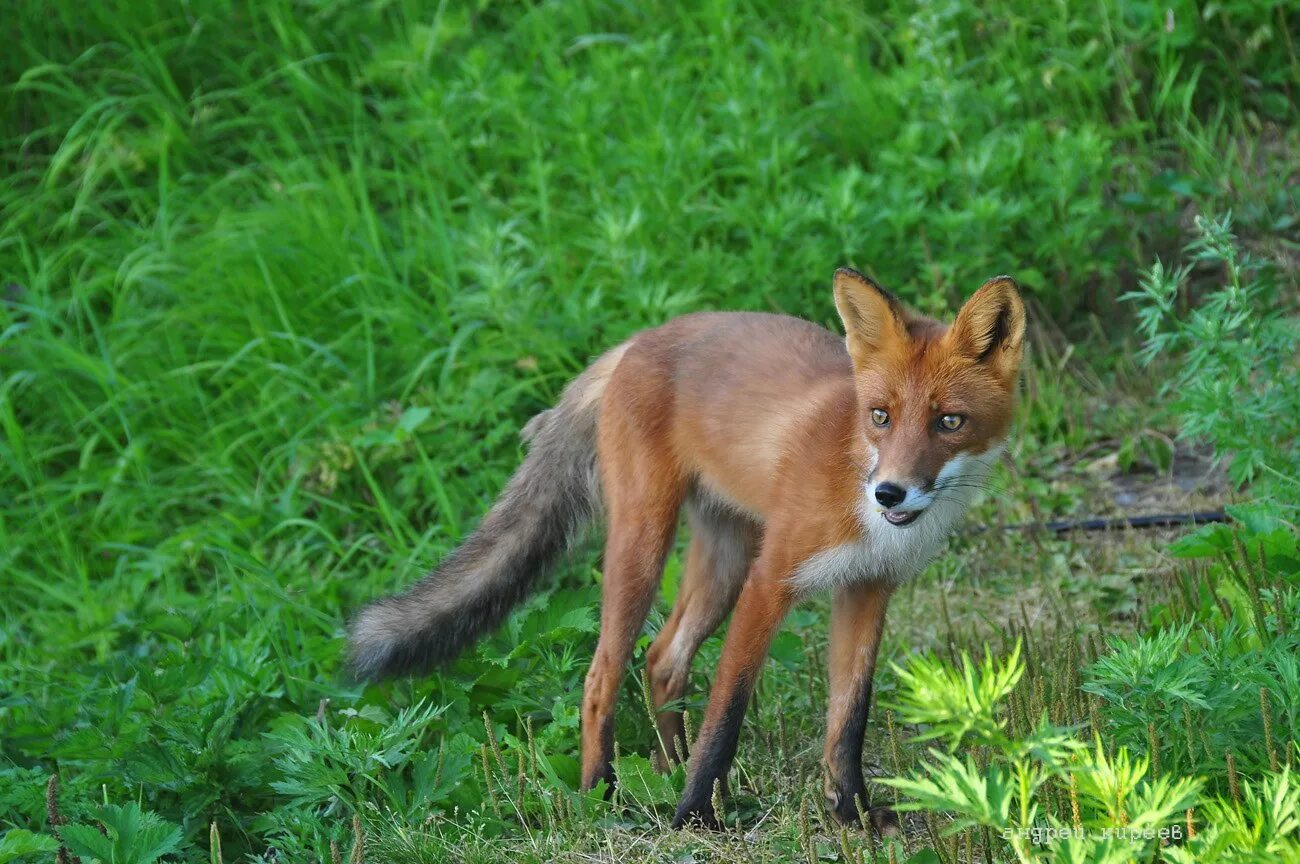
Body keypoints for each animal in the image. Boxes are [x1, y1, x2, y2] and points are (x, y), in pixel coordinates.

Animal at [353, 270, 1024, 831]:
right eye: (881, 416)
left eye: (949, 422)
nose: (890, 491)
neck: (856, 483)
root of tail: (639, 339)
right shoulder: (770, 581)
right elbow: (727, 709)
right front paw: (694, 817)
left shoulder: (866, 589)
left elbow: (848, 720)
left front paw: (852, 814)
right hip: (646, 544)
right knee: (603, 673)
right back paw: (603, 794)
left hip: (722, 559)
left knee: (663, 659)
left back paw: (667, 767)